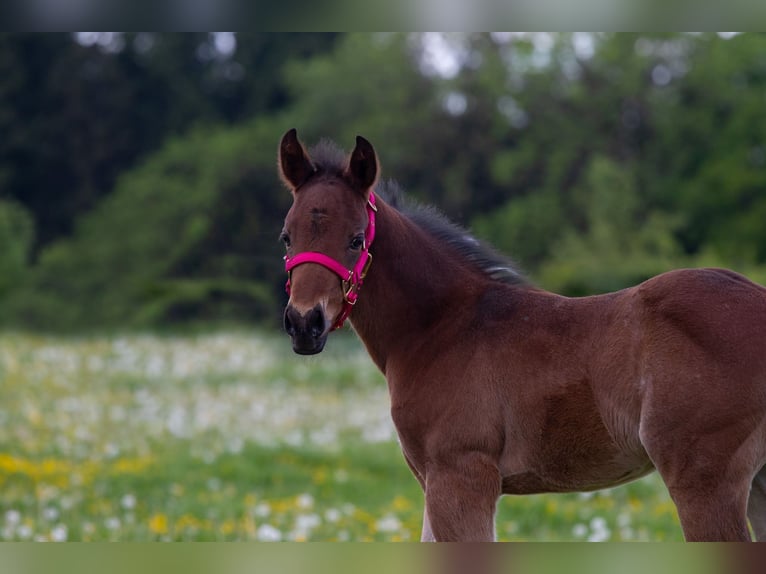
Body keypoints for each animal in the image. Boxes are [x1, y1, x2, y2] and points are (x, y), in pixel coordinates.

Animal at [277, 128, 766, 541]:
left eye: (357, 239)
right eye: (286, 237)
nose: (305, 324)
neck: (443, 326)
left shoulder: (461, 476)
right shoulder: (436, 483)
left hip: (704, 480)